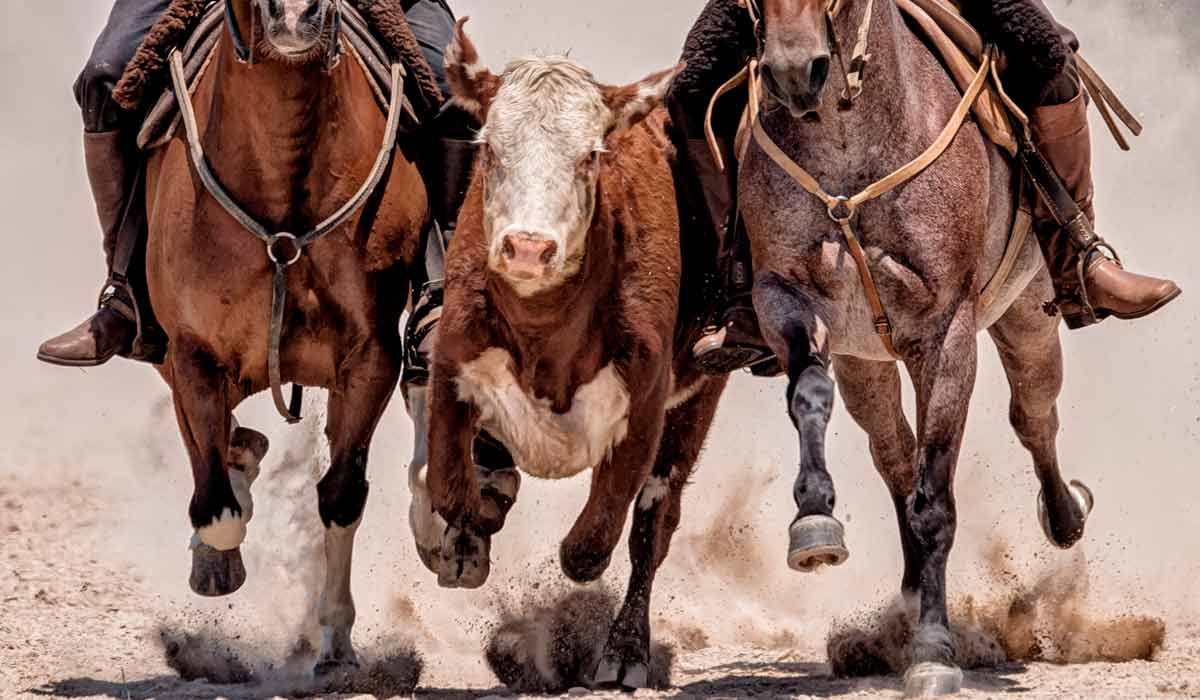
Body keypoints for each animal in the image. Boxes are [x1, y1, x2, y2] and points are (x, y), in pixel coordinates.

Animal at [144, 0, 427, 677]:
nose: (296, 15)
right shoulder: (192, 354)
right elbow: (218, 511)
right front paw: (216, 564)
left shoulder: (371, 358)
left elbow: (342, 496)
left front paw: (336, 645)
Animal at [417, 20, 724, 691]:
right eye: (490, 149)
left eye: (589, 156)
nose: (529, 248)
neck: (546, 335)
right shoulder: (451, 368)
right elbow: (452, 492)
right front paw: (471, 525)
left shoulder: (646, 401)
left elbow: (591, 545)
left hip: (700, 393)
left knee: (653, 524)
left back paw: (624, 653)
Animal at [734, 0, 1094, 691]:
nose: (793, 73)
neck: (847, 139)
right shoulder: (785, 298)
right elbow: (809, 396)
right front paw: (813, 520)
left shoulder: (947, 334)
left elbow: (935, 502)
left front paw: (933, 652)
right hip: (867, 365)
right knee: (894, 456)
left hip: (1029, 313)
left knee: (1035, 415)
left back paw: (1065, 516)